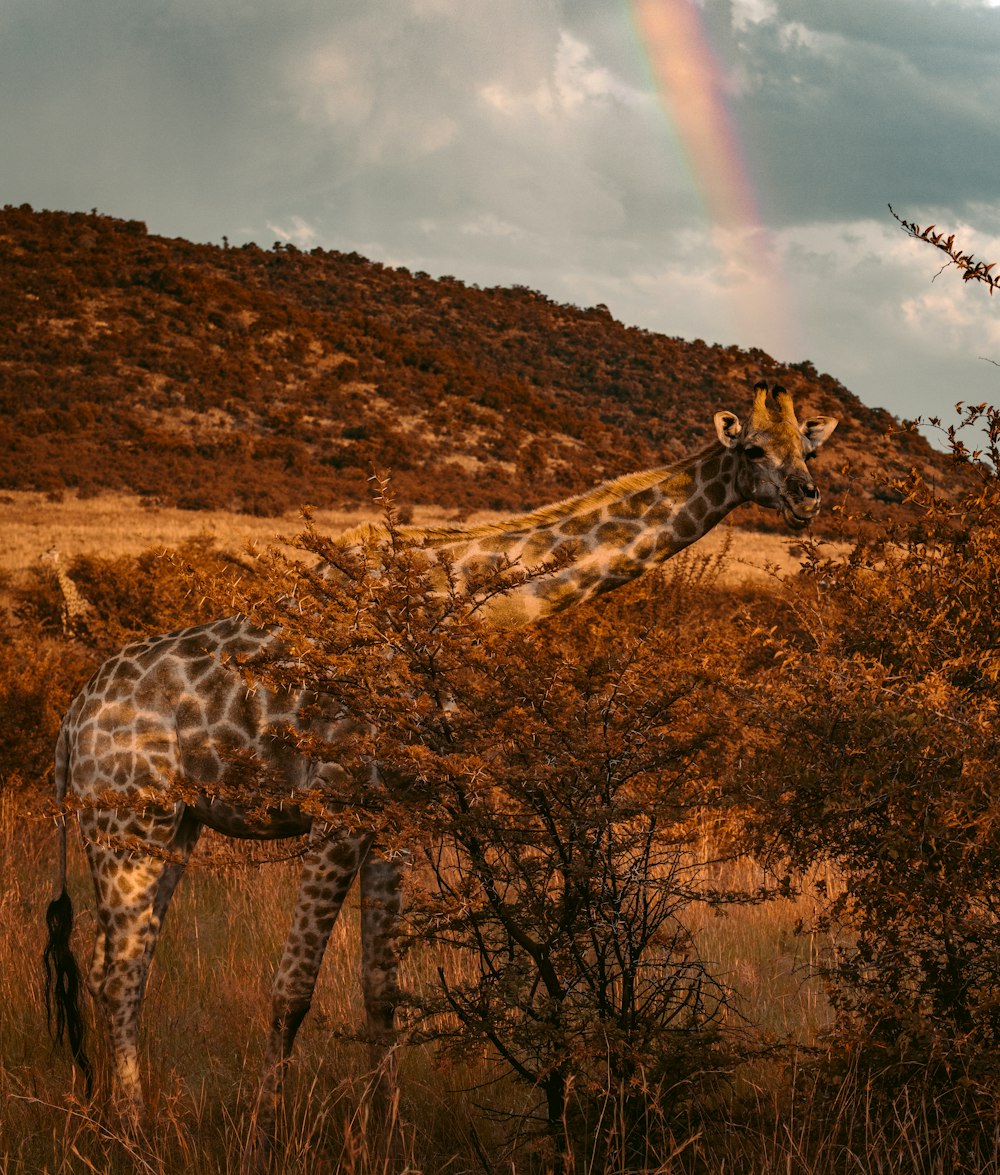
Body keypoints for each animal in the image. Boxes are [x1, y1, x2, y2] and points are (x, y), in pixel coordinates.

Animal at [41, 383, 836, 1146]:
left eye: (809, 449)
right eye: (755, 449)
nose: (808, 497)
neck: (458, 596)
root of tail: (72, 722)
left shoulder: (395, 815)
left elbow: (381, 986)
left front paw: (386, 1130)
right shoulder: (338, 807)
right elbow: (292, 988)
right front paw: (264, 1135)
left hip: (174, 825)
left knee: (125, 966)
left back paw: (119, 1118)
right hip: (125, 822)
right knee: (117, 974)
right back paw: (131, 1130)